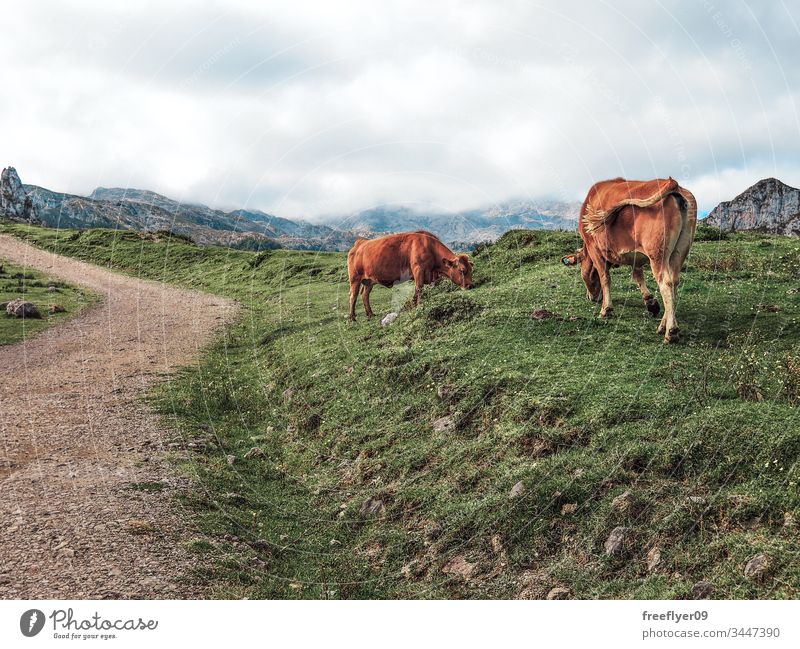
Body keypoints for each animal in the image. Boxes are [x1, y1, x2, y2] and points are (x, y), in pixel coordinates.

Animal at [560, 175, 696, 342]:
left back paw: (671, 331)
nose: (591, 297)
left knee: (666, 283)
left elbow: (605, 277)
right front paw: (650, 302)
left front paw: (606, 309)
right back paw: (663, 324)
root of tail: (674, 184)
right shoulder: (636, 256)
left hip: (657, 255)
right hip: (679, 252)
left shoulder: (594, 249)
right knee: (674, 283)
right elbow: (638, 276)